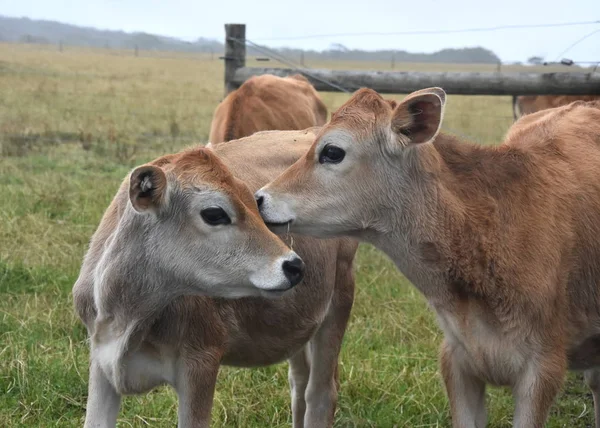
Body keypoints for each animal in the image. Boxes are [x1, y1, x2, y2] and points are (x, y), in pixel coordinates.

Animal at [73, 127, 358, 428]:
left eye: (253, 201)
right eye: (213, 213)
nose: (294, 266)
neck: (127, 314)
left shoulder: (201, 361)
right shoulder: (100, 360)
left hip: (340, 295)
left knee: (321, 393)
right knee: (299, 385)